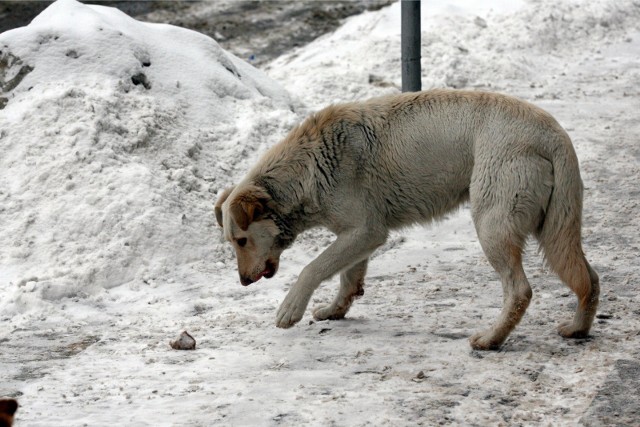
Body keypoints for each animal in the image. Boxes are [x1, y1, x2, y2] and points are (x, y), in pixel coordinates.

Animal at [215, 89, 600, 352]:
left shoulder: (366, 231)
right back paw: (577, 329)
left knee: (520, 291)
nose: (243, 282)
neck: (309, 166)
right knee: (590, 279)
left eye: (241, 240)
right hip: (554, 227)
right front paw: (335, 310)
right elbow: (348, 278)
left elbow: (313, 268)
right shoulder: (357, 235)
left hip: (492, 224)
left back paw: (491, 339)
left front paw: (290, 310)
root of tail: (553, 133)